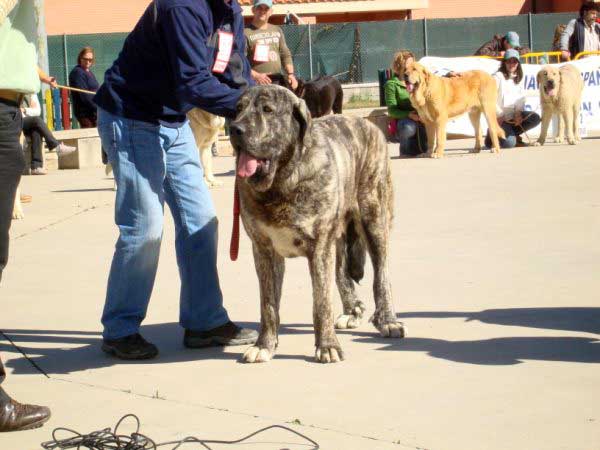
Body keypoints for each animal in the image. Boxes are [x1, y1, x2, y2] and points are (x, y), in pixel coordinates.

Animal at [230, 85, 404, 366]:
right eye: (238, 109)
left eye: (267, 110)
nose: (234, 129)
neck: (282, 181)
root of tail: (366, 124)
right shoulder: (264, 251)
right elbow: (268, 305)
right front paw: (264, 345)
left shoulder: (319, 247)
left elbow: (321, 302)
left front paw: (327, 346)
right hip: (339, 237)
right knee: (343, 273)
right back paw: (352, 310)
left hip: (374, 221)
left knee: (381, 276)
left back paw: (388, 321)